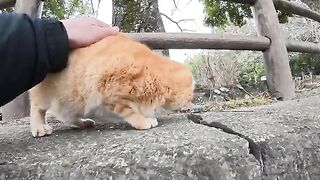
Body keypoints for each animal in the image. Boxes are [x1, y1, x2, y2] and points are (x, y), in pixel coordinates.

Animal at [28, 32, 194, 136]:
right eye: (190, 97)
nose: (191, 105)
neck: (153, 75)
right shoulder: (110, 95)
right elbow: (131, 112)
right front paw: (143, 121)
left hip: (73, 102)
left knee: (69, 117)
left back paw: (84, 123)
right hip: (47, 97)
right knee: (36, 108)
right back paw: (39, 127)